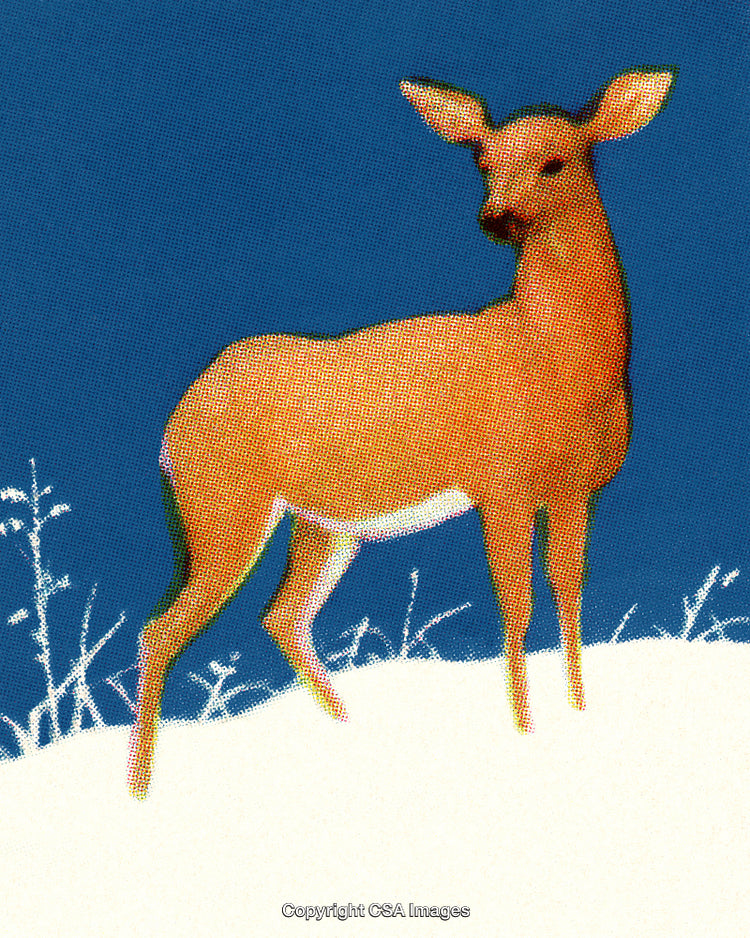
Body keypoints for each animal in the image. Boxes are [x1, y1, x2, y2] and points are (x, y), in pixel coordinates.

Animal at [127, 69, 674, 797]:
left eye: (556, 161)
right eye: (482, 161)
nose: (496, 218)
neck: (554, 357)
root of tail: (175, 423)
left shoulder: (575, 491)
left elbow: (569, 598)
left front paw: (579, 715)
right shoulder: (500, 486)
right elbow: (518, 607)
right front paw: (524, 731)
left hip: (321, 524)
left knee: (282, 616)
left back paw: (349, 729)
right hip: (224, 508)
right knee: (161, 632)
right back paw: (139, 787)